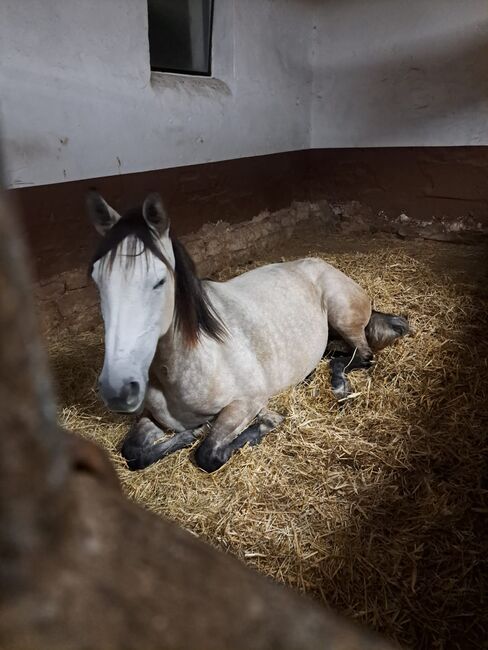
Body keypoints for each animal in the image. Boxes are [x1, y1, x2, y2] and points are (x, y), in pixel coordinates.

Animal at [86, 192, 408, 470]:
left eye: (159, 281)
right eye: (97, 278)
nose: (117, 389)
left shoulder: (245, 403)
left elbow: (209, 454)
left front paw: (265, 422)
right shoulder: (151, 416)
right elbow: (132, 453)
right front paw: (187, 434)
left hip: (343, 314)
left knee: (362, 356)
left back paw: (340, 385)